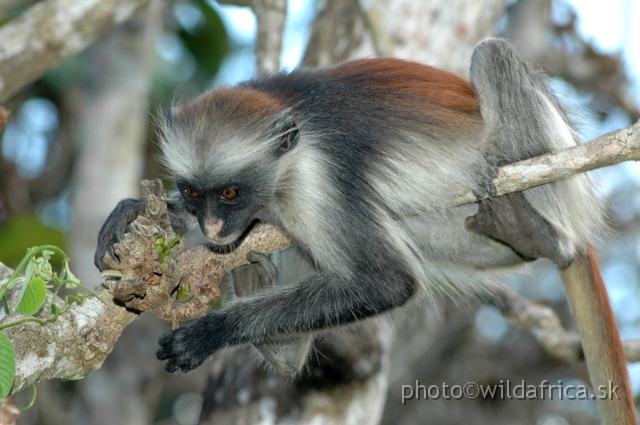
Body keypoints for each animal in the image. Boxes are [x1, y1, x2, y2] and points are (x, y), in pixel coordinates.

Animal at [94, 38, 636, 422]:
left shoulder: (318, 177)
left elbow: (387, 282)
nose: (211, 224)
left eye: (229, 193)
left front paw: (210, 332)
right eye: (192, 192)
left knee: (493, 55)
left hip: (551, 180)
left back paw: (548, 237)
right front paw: (139, 215)